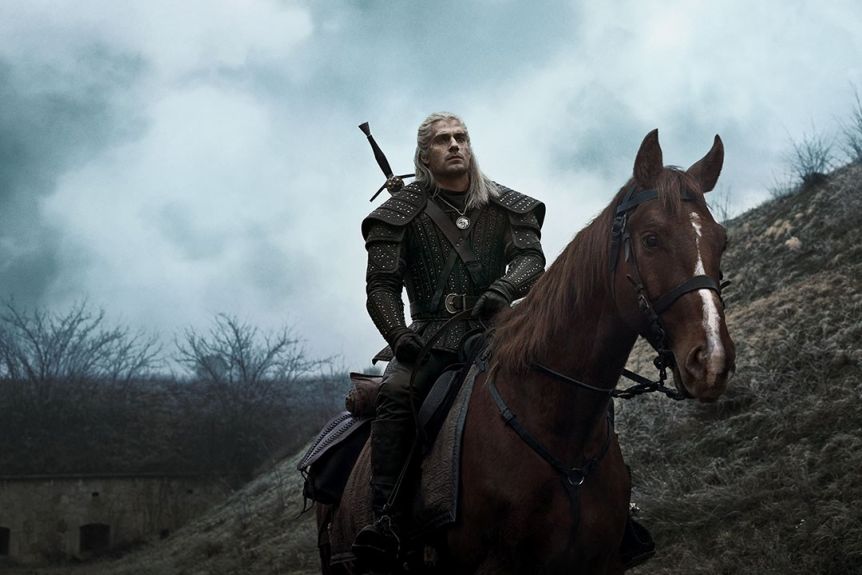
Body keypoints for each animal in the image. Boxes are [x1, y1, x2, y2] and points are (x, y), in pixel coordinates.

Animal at [322, 130, 736, 575]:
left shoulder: (603, 561)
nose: (711, 360)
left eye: (721, 240)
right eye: (651, 239)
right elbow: (381, 282)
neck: (560, 429)